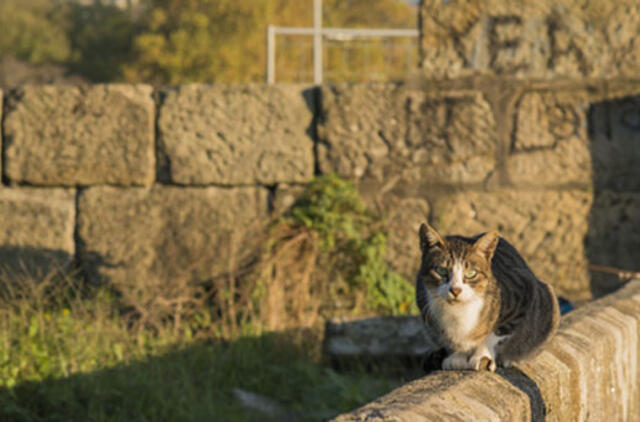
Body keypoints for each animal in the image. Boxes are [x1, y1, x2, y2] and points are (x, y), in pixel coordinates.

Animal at [416, 223, 560, 370]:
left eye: (471, 273)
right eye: (441, 270)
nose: (455, 290)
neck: (459, 310)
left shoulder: (522, 293)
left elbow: (494, 334)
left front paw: (482, 355)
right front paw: (457, 356)